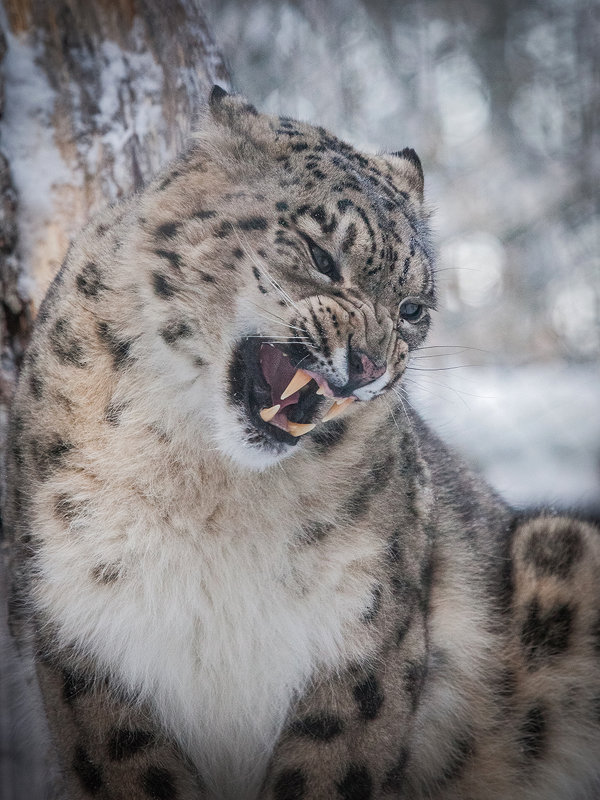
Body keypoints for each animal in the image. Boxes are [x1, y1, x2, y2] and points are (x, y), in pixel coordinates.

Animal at [4, 87, 600, 800]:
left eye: (413, 309)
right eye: (320, 256)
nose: (371, 365)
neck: (210, 489)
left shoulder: (363, 633)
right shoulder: (83, 629)